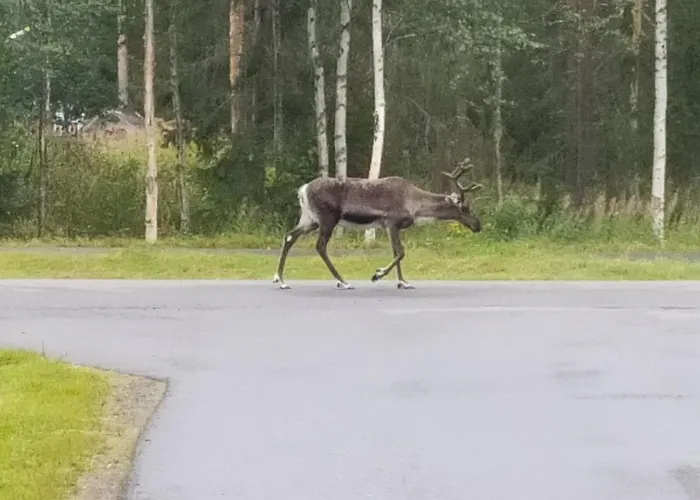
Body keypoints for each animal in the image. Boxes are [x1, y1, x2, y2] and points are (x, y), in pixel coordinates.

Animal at [272, 158, 483, 290]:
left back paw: (280, 280)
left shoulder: (389, 227)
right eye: (465, 208)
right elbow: (401, 252)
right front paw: (378, 274)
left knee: (289, 236)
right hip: (327, 219)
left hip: (309, 219)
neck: (415, 205)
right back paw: (343, 281)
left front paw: (402, 282)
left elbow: (396, 252)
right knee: (320, 246)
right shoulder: (393, 222)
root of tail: (302, 190)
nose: (478, 226)